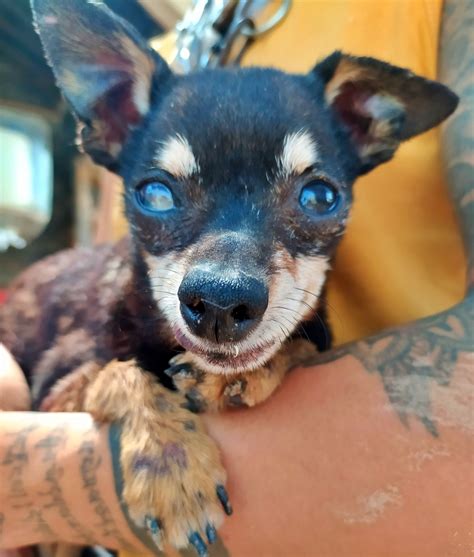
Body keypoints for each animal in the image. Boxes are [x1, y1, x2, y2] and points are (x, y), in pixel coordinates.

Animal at [0, 0, 460, 552]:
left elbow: (301, 341)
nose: (220, 302)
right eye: (155, 194)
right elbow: (117, 373)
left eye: (320, 197)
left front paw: (243, 374)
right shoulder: (53, 389)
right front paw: (171, 470)